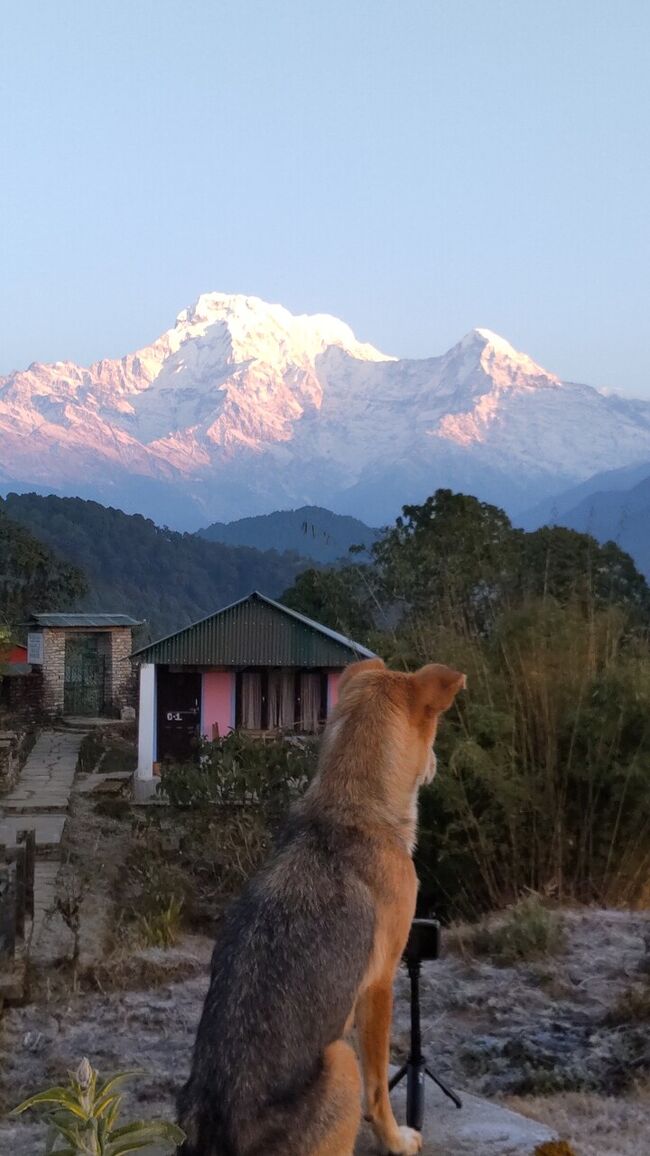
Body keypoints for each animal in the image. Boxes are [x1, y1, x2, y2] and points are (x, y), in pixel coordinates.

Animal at [174, 661, 462, 1156]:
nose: (437, 765)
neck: (349, 801)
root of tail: (221, 1133)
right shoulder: (380, 984)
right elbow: (379, 1089)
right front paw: (396, 1138)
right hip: (341, 1057)